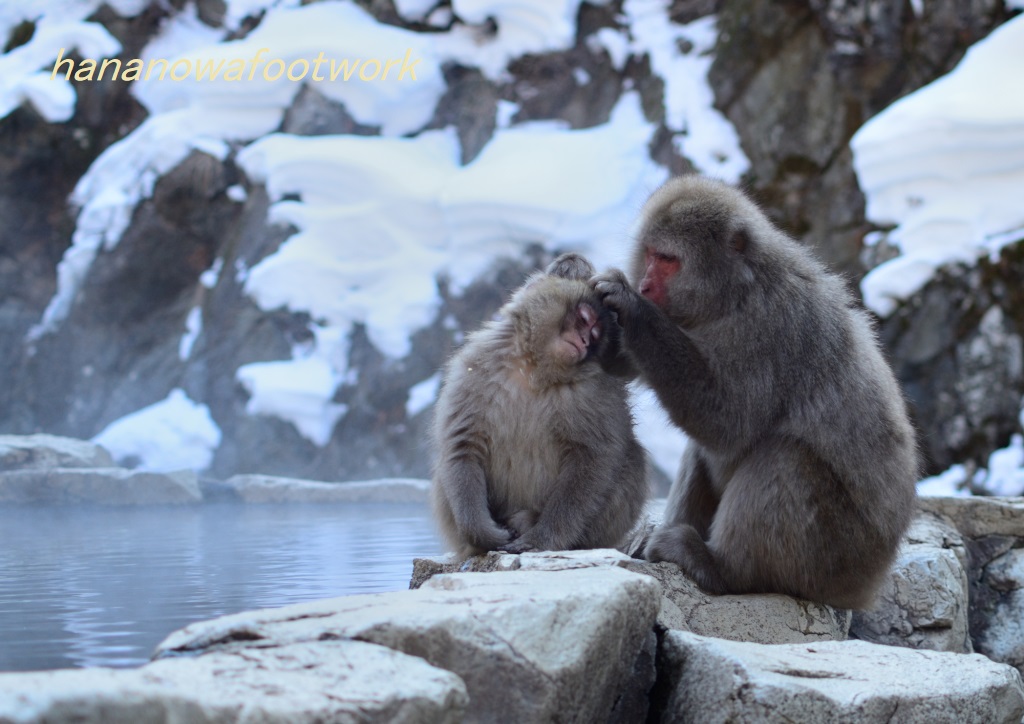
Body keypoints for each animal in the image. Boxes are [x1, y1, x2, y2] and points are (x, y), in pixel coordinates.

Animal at [432, 254, 647, 561]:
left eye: (594, 334)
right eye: (584, 320)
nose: (584, 341)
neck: (534, 371)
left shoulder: (596, 390)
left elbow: (593, 457)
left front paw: (542, 538)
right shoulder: (475, 368)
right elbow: (463, 446)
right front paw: (482, 531)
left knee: (632, 459)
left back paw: (533, 523)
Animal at [593, 177, 921, 610]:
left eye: (667, 259)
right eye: (649, 255)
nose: (645, 285)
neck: (734, 295)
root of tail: (868, 585)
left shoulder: (773, 326)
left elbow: (729, 420)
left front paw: (631, 307)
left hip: (836, 555)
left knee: (785, 457)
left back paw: (722, 568)